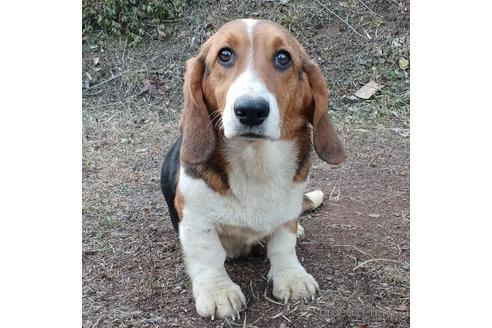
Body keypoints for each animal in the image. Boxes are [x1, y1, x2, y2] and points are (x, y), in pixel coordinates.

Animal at [161, 19, 346, 320]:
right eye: (224, 55)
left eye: (283, 58)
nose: (250, 110)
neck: (255, 161)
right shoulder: (195, 217)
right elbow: (208, 254)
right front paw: (218, 292)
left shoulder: (288, 209)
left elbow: (283, 245)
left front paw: (291, 278)